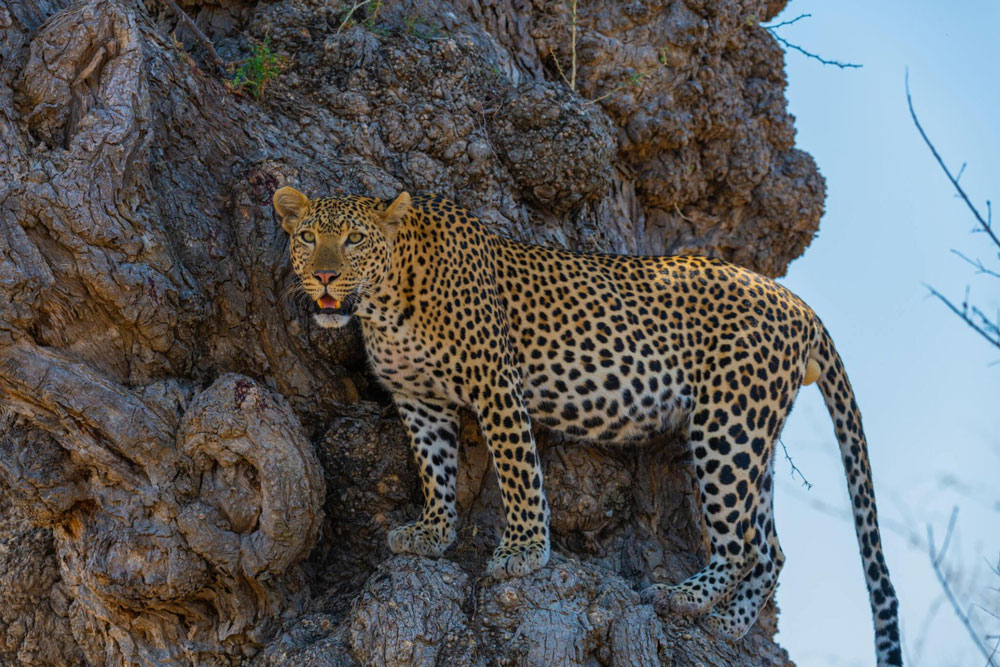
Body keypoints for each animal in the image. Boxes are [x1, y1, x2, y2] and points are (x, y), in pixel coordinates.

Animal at [274, 188, 908, 667]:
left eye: (354, 240)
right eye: (307, 238)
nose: (325, 276)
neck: (385, 303)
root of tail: (798, 304)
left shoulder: (495, 384)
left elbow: (519, 472)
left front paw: (524, 551)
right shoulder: (418, 399)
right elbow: (434, 469)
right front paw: (432, 532)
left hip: (727, 423)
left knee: (742, 543)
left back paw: (685, 599)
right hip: (755, 431)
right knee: (771, 547)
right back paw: (727, 623)